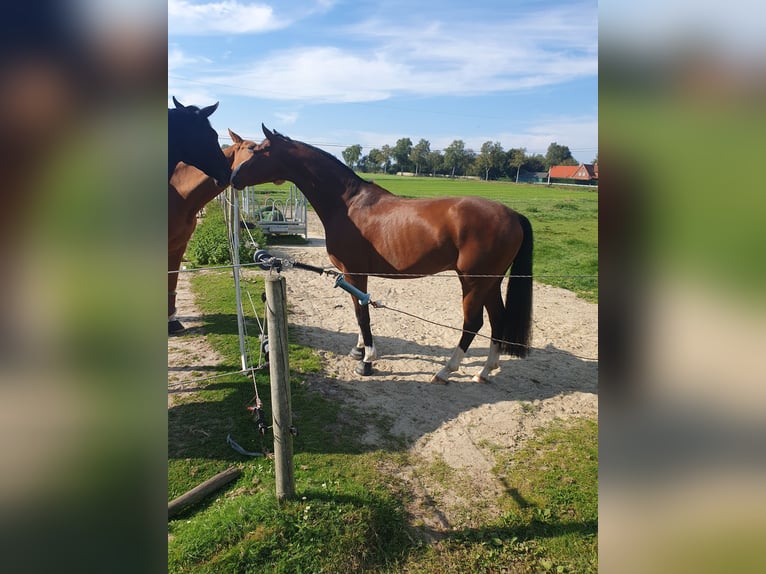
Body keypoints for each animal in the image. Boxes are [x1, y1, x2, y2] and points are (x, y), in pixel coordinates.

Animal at [231, 126, 536, 388]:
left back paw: (445, 371)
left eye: (260, 150)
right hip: (491, 282)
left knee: (473, 323)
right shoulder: (350, 275)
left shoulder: (355, 272)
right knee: (497, 319)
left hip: (473, 282)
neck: (348, 204)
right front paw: (359, 350)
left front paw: (367, 360)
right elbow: (357, 310)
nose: (233, 177)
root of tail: (513, 215)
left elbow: (362, 313)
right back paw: (484, 371)